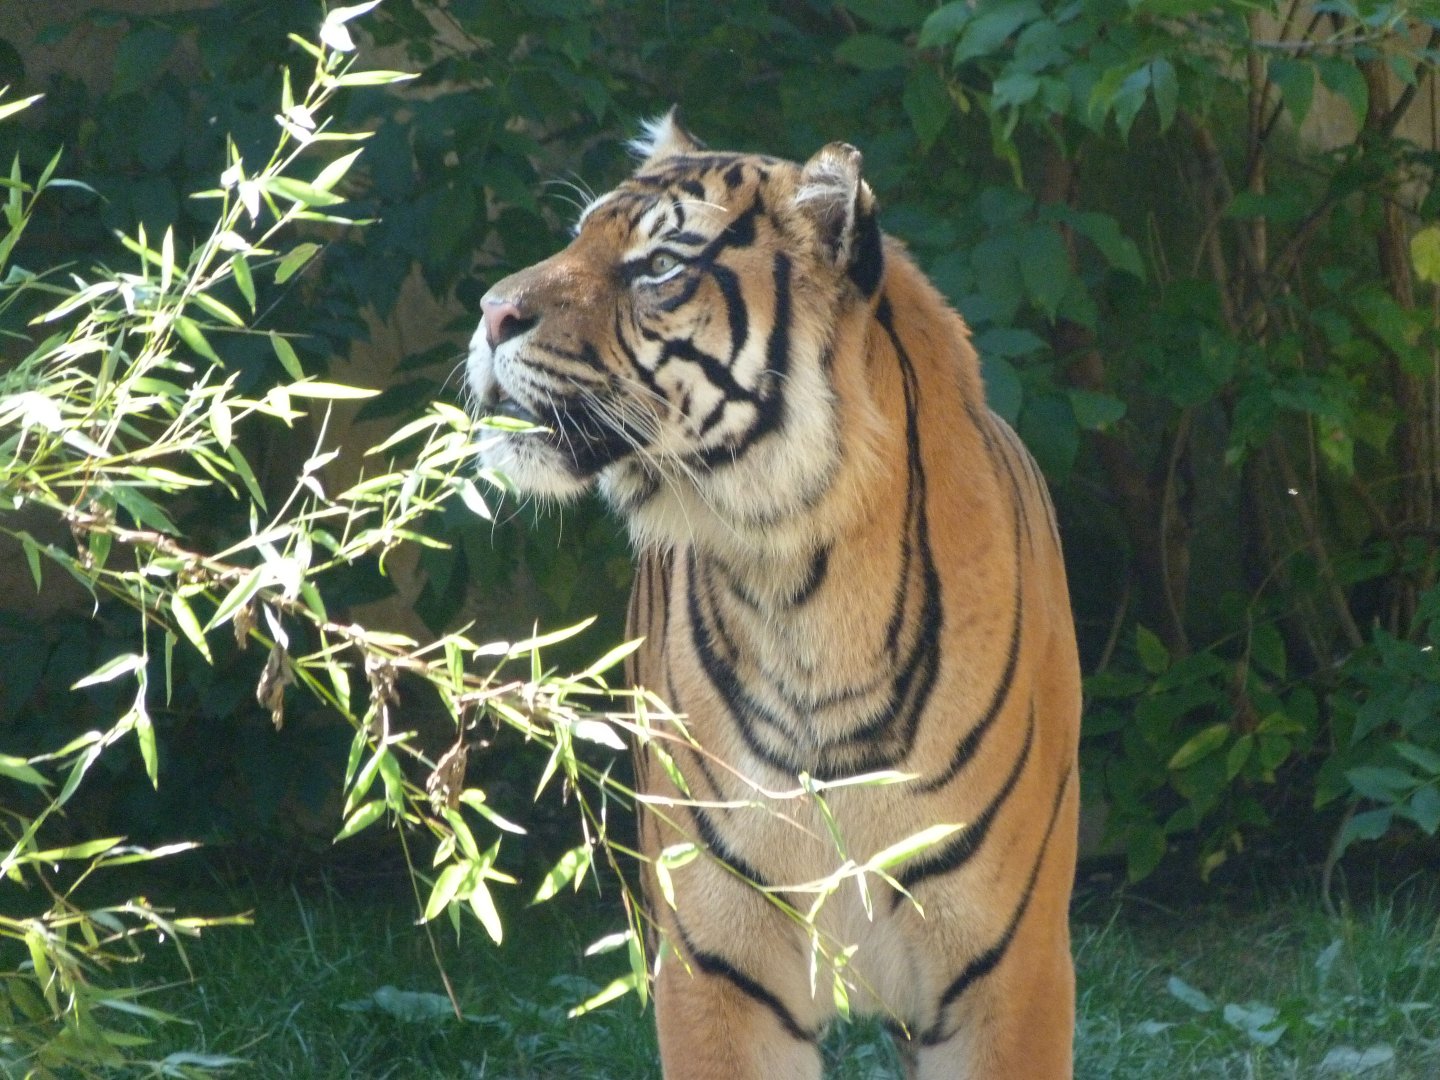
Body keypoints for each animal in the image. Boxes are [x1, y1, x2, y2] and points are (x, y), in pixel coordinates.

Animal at [465, 111, 1081, 1080]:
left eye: (658, 265)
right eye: (576, 236)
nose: (491, 312)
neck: (802, 593)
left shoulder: (1006, 974)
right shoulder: (718, 967)